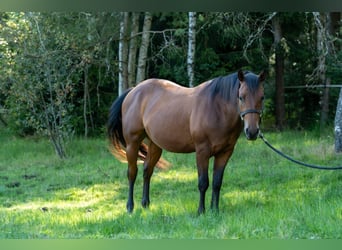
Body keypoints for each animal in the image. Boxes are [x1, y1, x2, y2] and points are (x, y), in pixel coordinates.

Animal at [108, 69, 266, 214]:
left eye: (262, 97)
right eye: (241, 97)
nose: (252, 131)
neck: (216, 109)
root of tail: (133, 91)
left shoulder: (225, 153)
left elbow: (217, 182)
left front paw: (215, 210)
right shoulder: (202, 152)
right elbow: (203, 182)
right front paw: (201, 211)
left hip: (155, 145)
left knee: (147, 171)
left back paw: (145, 204)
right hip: (132, 144)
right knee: (132, 173)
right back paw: (130, 207)